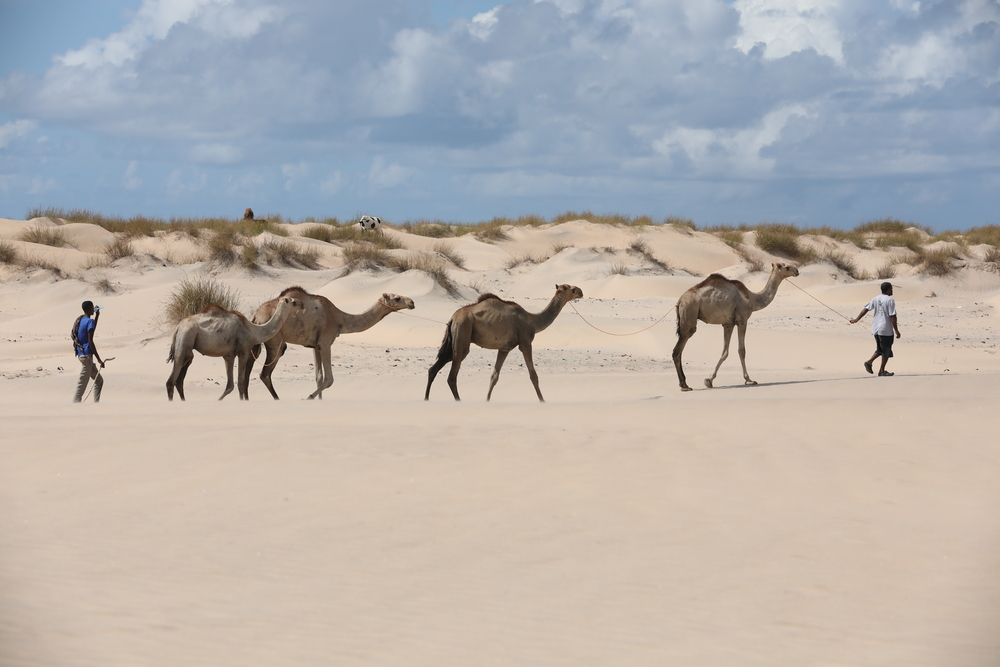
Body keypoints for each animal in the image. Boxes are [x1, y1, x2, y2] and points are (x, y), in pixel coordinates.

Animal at [165, 295, 303, 401]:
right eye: (293, 301)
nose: (302, 304)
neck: (254, 331)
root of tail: (178, 327)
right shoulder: (243, 352)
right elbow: (240, 383)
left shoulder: (229, 355)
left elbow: (230, 385)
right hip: (185, 338)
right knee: (171, 380)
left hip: (187, 346)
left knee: (180, 379)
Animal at [248, 287, 415, 400]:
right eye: (397, 298)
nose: (412, 302)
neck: (339, 319)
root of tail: (256, 315)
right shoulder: (326, 342)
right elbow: (329, 379)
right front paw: (308, 397)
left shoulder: (315, 345)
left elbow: (319, 377)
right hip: (276, 341)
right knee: (265, 374)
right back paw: (277, 398)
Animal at [425, 284, 583, 402]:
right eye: (569, 288)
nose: (580, 291)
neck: (532, 321)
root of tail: (452, 318)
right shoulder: (525, 343)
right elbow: (533, 375)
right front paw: (542, 400)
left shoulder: (504, 349)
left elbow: (494, 376)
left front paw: (487, 400)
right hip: (462, 333)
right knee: (452, 376)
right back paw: (458, 401)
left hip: (452, 341)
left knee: (434, 368)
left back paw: (426, 399)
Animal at [672, 262, 799, 391]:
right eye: (786, 267)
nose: (797, 271)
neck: (751, 299)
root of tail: (680, 301)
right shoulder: (742, 320)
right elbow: (741, 350)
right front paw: (749, 380)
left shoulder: (728, 324)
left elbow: (725, 352)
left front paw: (709, 380)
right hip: (690, 311)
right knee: (678, 349)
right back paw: (685, 385)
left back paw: (684, 384)